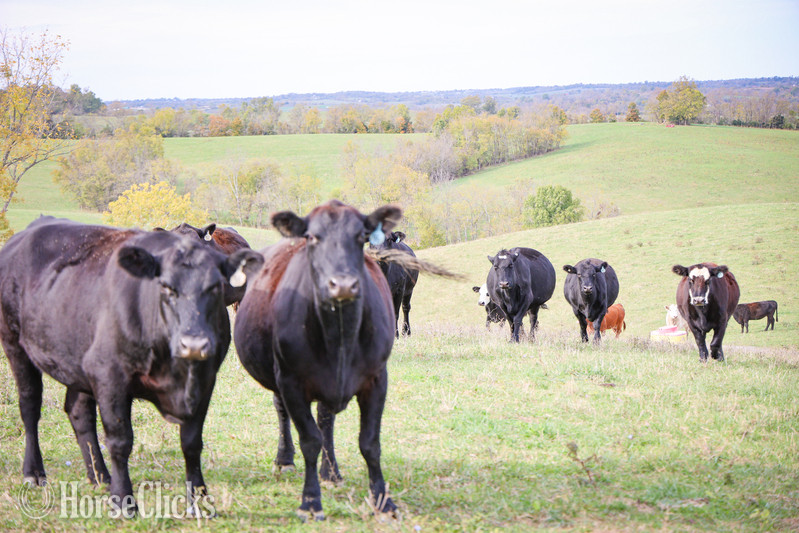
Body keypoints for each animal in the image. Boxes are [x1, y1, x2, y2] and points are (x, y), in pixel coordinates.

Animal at [0, 217, 263, 515]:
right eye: (166, 286)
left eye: (214, 286)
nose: (195, 343)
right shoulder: (110, 377)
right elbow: (120, 441)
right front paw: (124, 501)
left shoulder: (205, 381)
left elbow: (192, 442)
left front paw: (199, 501)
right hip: (14, 343)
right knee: (30, 407)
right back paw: (34, 473)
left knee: (79, 412)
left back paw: (100, 477)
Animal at [233, 200, 400, 521]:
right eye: (311, 237)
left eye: (362, 236)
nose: (343, 285)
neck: (340, 337)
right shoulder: (291, 380)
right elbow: (309, 440)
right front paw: (310, 501)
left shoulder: (377, 378)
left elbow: (369, 443)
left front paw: (383, 500)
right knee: (283, 412)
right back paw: (285, 459)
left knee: (325, 420)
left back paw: (331, 472)